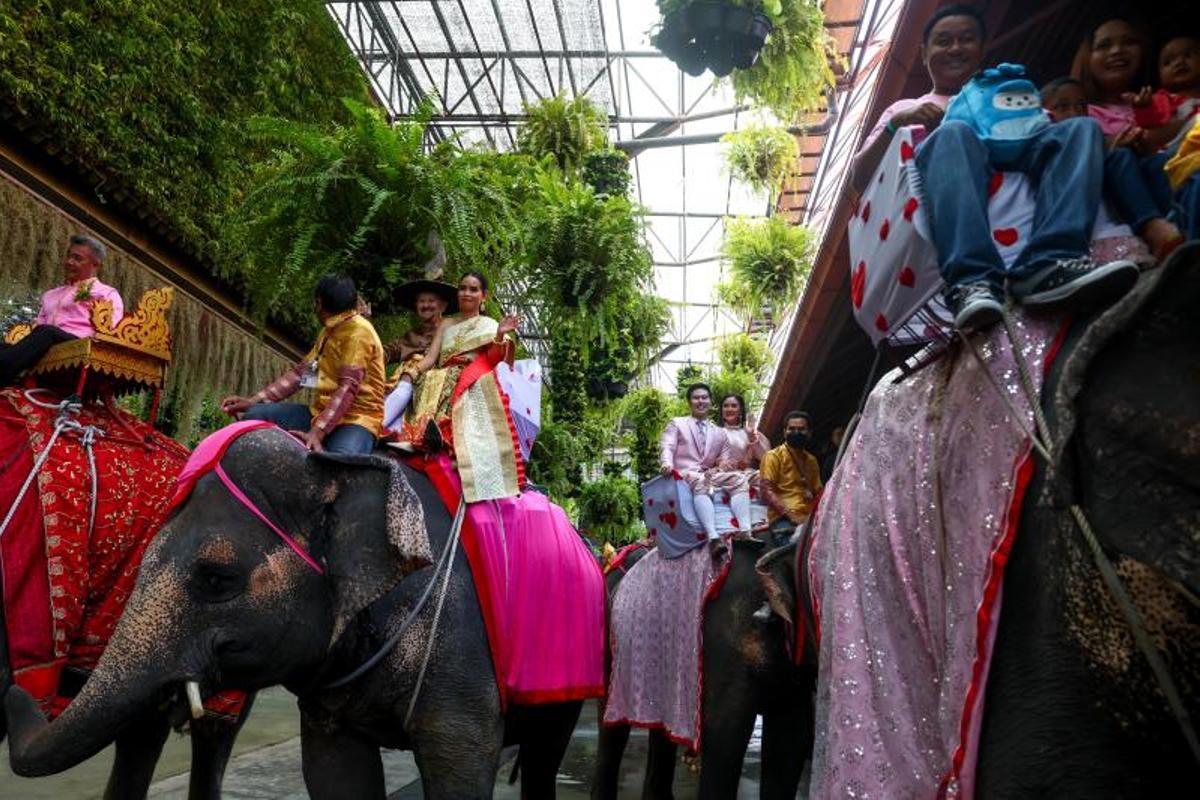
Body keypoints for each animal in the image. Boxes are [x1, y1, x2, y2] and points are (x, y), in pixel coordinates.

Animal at [3, 431, 585, 800]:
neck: (333, 470)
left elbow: (460, 765)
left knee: (544, 758)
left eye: (215, 578)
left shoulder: (463, 651)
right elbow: (333, 775)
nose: (16, 685)